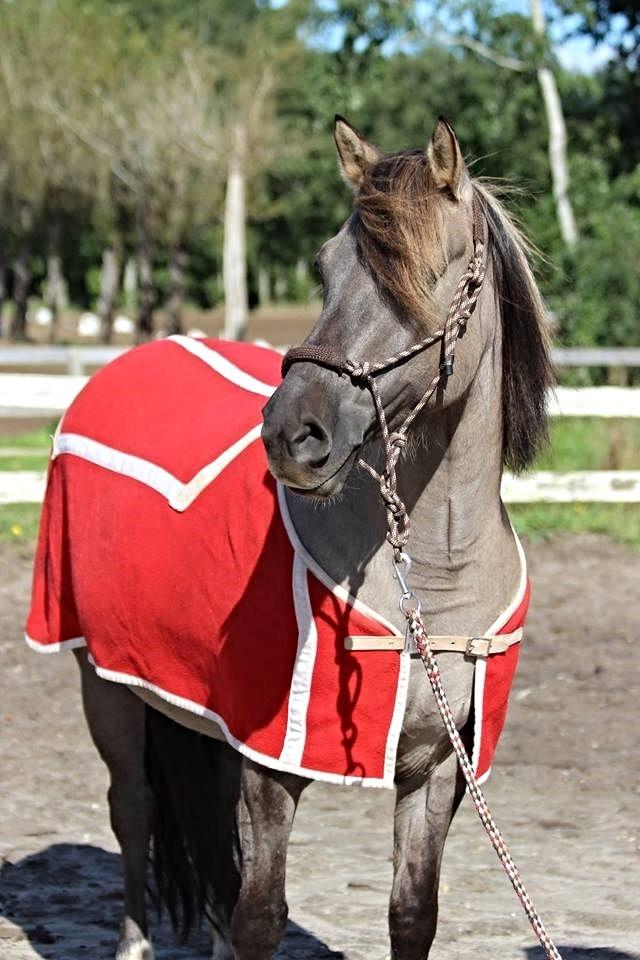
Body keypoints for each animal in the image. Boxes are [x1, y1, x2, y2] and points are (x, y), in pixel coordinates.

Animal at [26, 114, 552, 960]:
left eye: (427, 271)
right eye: (325, 267)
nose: (291, 434)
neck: (428, 583)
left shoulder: (437, 771)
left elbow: (412, 914)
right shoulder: (273, 761)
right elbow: (259, 915)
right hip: (102, 678)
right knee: (133, 808)